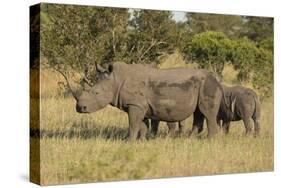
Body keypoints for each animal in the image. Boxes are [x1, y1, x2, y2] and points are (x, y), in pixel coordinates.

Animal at [62, 62, 224, 140]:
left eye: (96, 93)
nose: (80, 108)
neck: (115, 81)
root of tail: (217, 79)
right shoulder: (140, 105)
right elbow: (142, 125)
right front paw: (142, 141)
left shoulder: (136, 104)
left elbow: (133, 124)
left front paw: (129, 142)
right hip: (202, 86)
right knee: (198, 113)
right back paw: (190, 140)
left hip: (208, 85)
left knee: (207, 113)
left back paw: (209, 141)